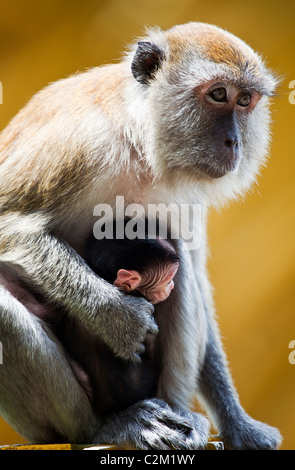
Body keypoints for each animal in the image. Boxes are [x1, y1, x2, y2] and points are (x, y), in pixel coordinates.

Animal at [0, 23, 284, 450]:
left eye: (245, 100)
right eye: (219, 94)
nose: (234, 142)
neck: (140, 143)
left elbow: (195, 276)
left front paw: (239, 424)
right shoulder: (79, 144)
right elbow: (10, 227)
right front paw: (115, 317)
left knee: (178, 256)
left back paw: (178, 414)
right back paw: (104, 427)